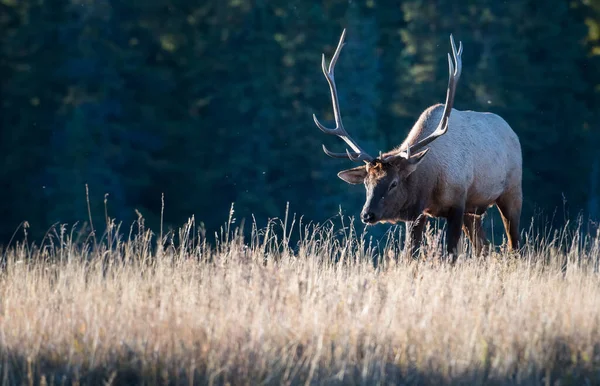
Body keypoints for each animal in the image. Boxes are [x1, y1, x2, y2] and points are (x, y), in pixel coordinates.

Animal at [312, 28, 524, 260]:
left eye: (394, 183)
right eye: (366, 183)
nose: (367, 215)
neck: (429, 183)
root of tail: (512, 131)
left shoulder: (458, 203)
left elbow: (451, 254)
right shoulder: (418, 213)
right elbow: (410, 253)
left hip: (511, 192)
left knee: (514, 245)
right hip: (474, 210)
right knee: (484, 248)